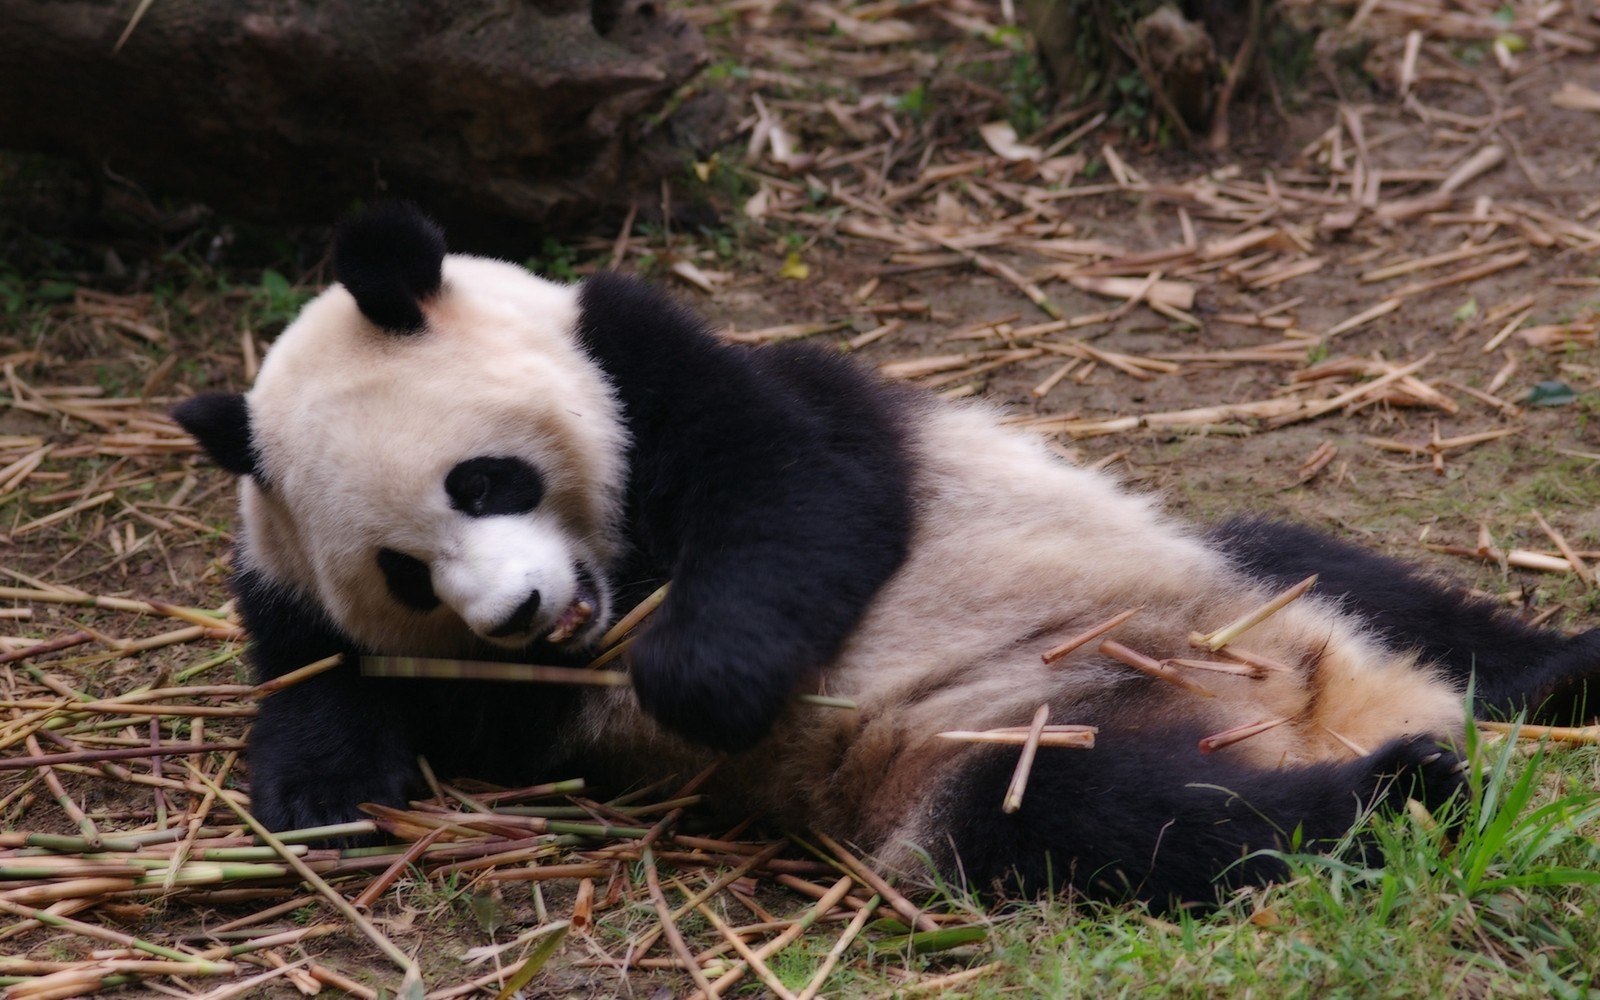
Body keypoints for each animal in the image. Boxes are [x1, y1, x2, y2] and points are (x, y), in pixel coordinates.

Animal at [172, 203, 1600, 902]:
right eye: (405, 571)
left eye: (484, 479)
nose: (520, 612)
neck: (618, 580)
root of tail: (1317, 700)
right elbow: (324, 671)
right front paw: (319, 791)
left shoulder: (663, 363)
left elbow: (805, 495)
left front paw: (691, 675)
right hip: (999, 740)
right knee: (1123, 824)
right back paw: (1403, 786)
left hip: (1218, 573)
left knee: (1375, 591)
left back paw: (1534, 691)